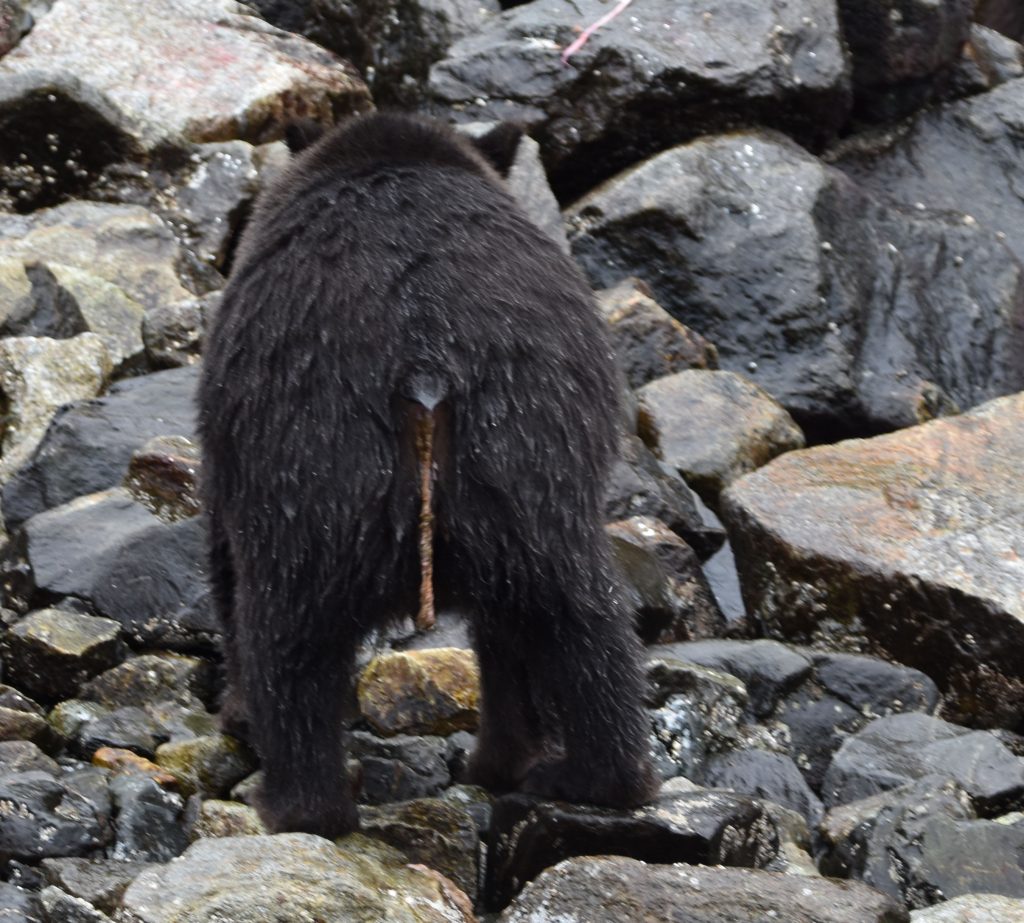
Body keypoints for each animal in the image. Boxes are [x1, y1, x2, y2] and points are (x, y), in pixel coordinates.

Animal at [197, 109, 655, 835]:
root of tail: (424, 365)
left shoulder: (229, 448)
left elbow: (221, 551)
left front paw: (237, 712)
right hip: (526, 467)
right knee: (580, 619)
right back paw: (576, 773)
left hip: (308, 467)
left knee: (285, 633)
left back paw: (296, 803)